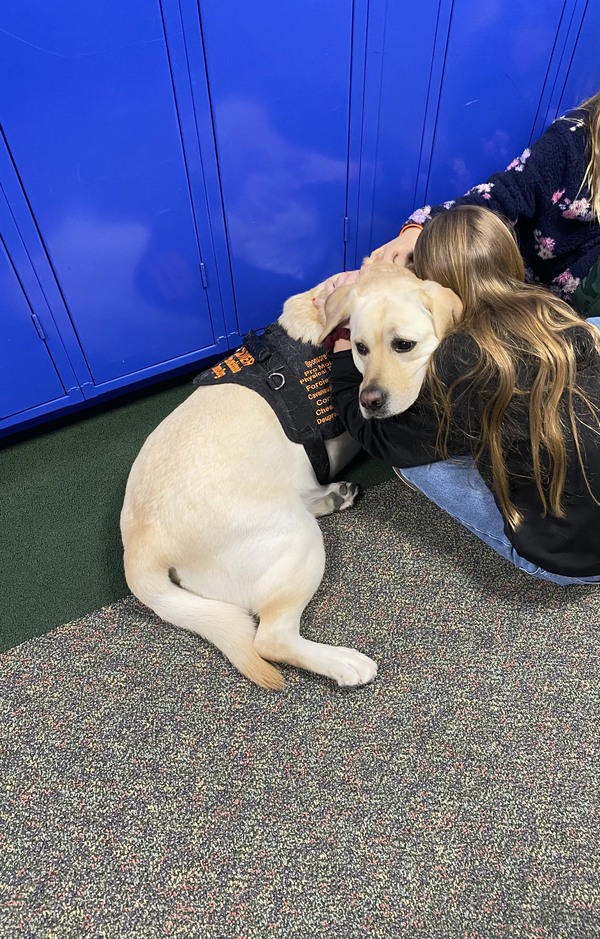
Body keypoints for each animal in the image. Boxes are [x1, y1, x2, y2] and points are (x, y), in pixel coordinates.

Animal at [120, 260, 460, 688]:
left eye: (403, 345)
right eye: (362, 348)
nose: (370, 402)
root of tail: (140, 546)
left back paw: (333, 496)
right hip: (298, 540)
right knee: (270, 638)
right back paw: (344, 663)